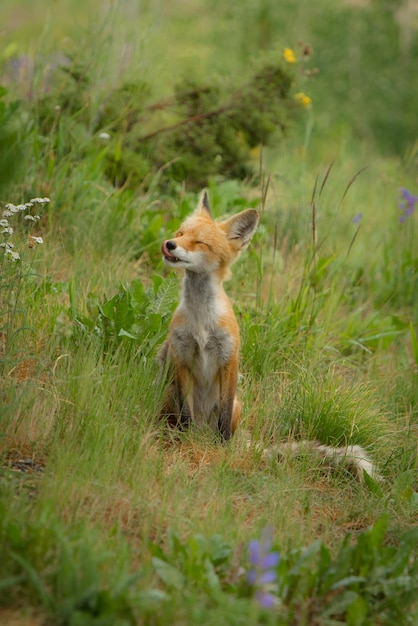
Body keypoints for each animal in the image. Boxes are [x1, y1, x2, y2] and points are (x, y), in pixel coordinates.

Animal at [159, 190, 260, 438]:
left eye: (200, 243)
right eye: (180, 233)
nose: (169, 244)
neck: (201, 321)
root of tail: (203, 429)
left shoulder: (228, 358)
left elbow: (224, 416)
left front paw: (223, 445)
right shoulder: (181, 355)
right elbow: (186, 412)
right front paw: (186, 440)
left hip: (237, 406)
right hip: (168, 395)